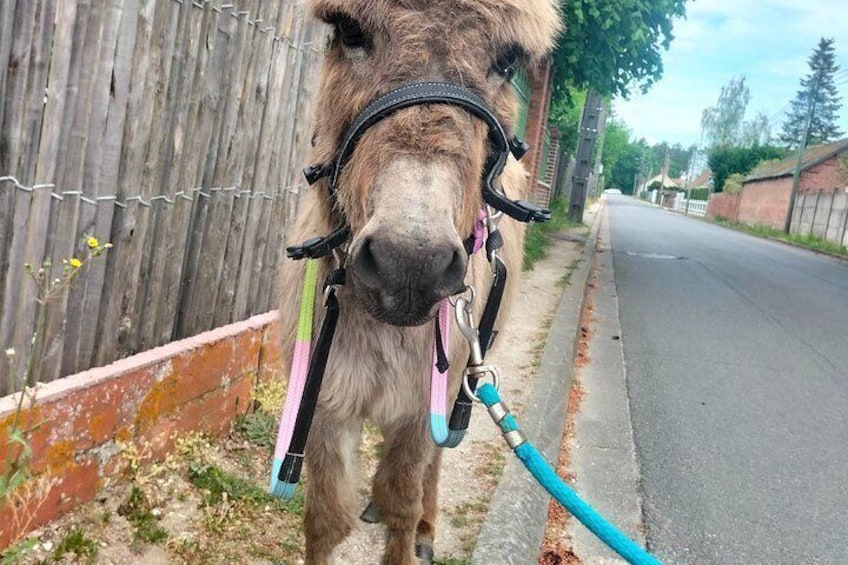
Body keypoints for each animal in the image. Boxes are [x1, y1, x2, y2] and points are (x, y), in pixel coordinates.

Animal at [276, 2, 561, 563]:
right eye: (349, 31)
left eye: (507, 61)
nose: (410, 263)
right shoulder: (326, 401)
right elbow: (326, 517)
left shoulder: (421, 406)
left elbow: (401, 502)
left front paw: (413, 532)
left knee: (434, 464)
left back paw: (428, 529)